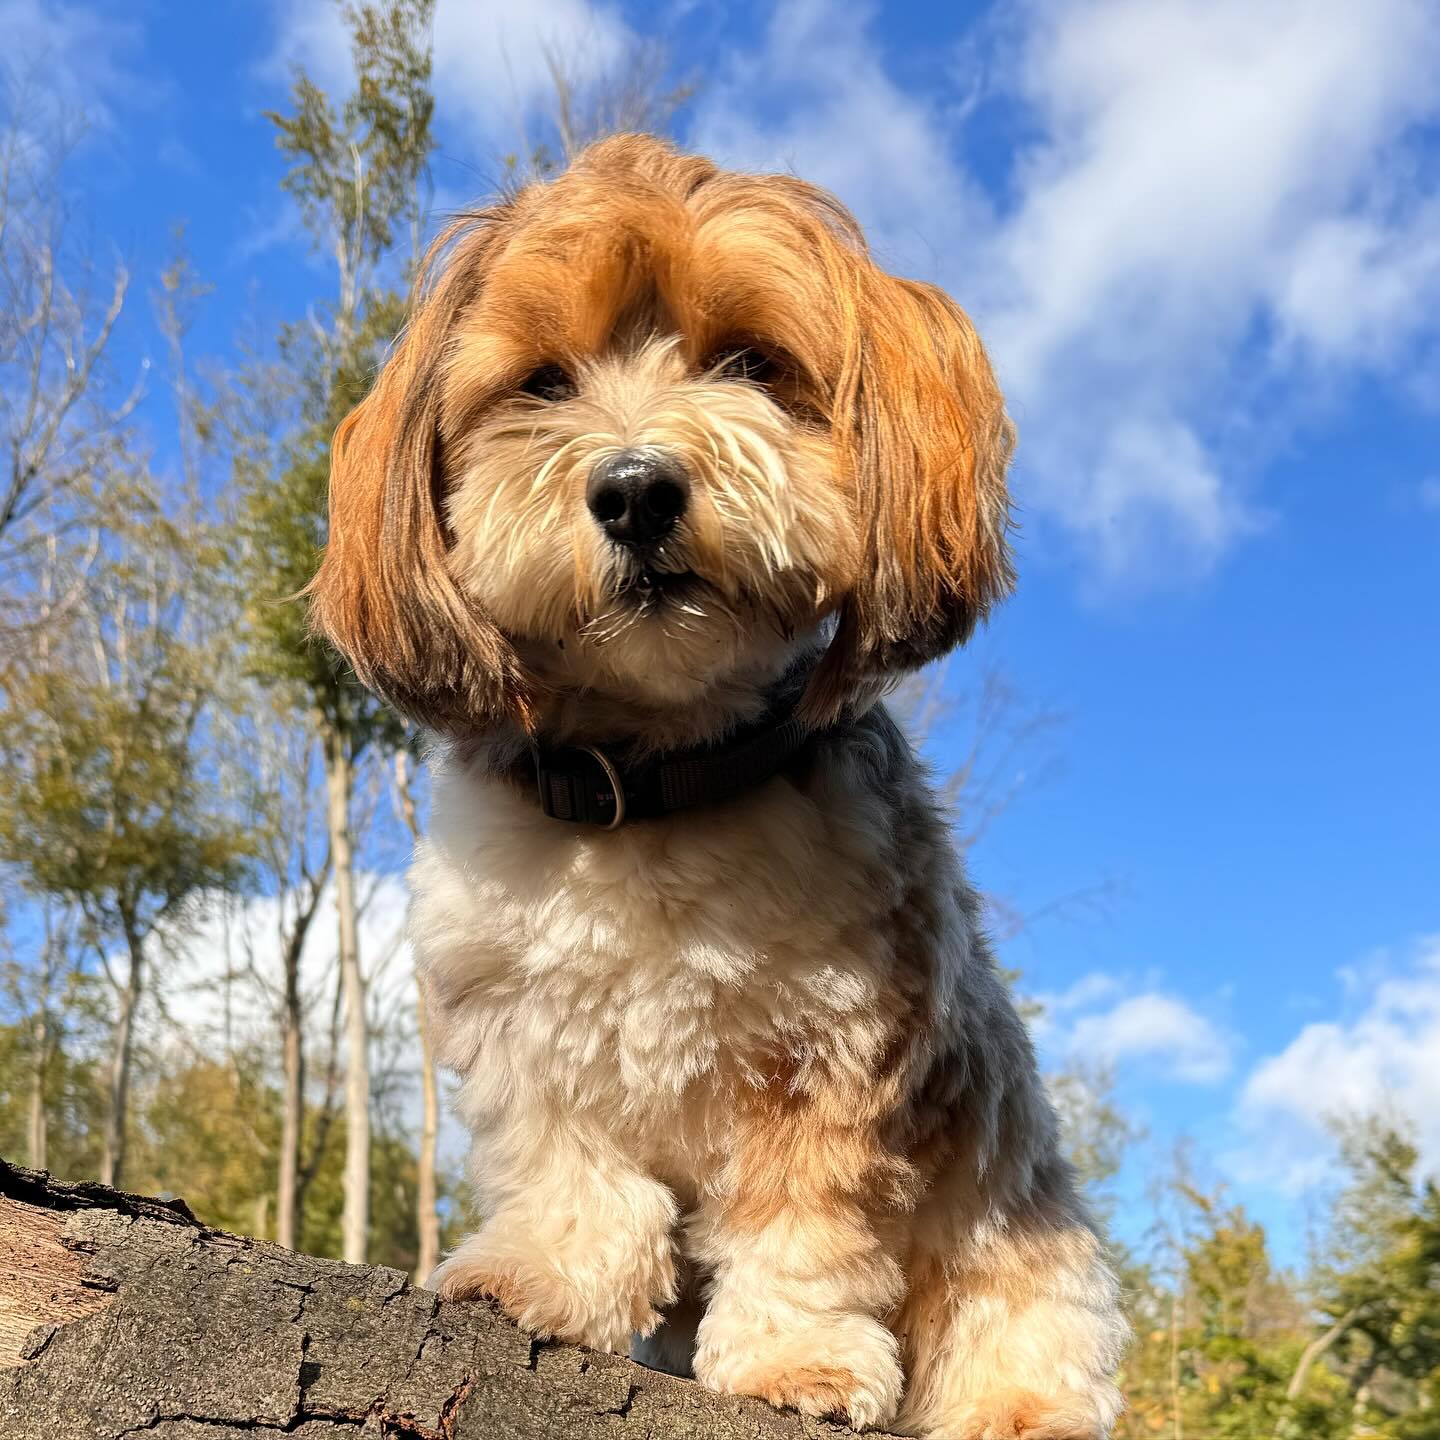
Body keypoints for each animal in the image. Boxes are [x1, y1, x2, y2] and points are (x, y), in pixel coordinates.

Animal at [310, 134, 1127, 1438]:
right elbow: (571, 1175)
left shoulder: (841, 1058)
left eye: (750, 362)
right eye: (543, 382)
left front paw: (799, 1361)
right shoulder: (519, 1031)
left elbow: (808, 1232)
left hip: (1030, 1264)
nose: (637, 488)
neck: (652, 788)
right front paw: (548, 1279)